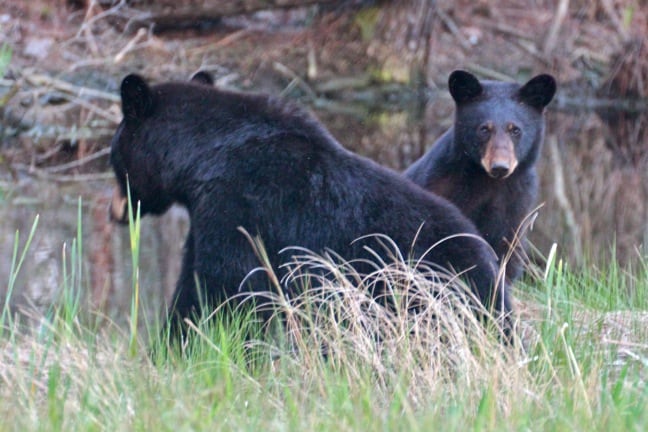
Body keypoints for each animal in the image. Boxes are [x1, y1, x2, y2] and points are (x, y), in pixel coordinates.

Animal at [107, 71, 512, 340]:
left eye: (113, 157)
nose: (114, 212)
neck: (201, 159)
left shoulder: (234, 208)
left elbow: (223, 285)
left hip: (413, 291)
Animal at [402, 69, 556, 282]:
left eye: (515, 130)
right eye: (484, 129)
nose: (500, 167)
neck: (489, 182)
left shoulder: (516, 207)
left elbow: (507, 256)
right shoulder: (440, 188)